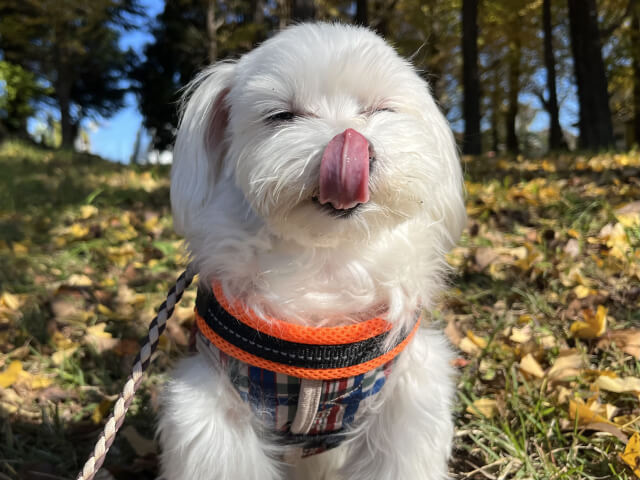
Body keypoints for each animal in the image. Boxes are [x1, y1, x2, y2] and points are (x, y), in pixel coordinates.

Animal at [159, 22, 466, 480]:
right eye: (282, 116)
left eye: (380, 109)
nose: (351, 144)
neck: (326, 261)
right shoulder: (214, 405)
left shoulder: (408, 394)